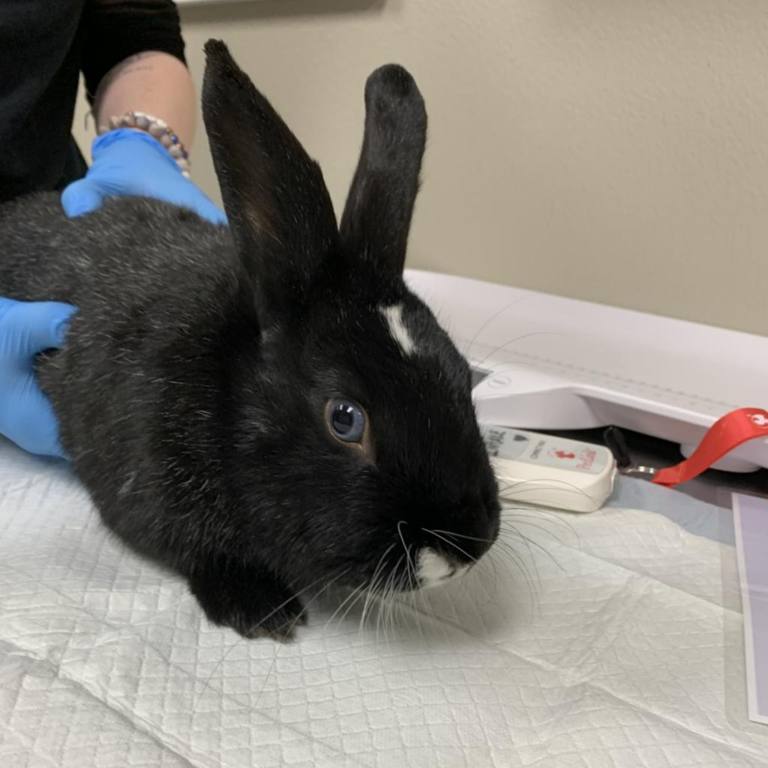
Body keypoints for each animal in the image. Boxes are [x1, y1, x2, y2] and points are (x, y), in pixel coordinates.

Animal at [0, 40, 498, 640]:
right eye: (345, 418)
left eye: (463, 375)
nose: (468, 543)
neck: (227, 396)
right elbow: (200, 554)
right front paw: (265, 611)